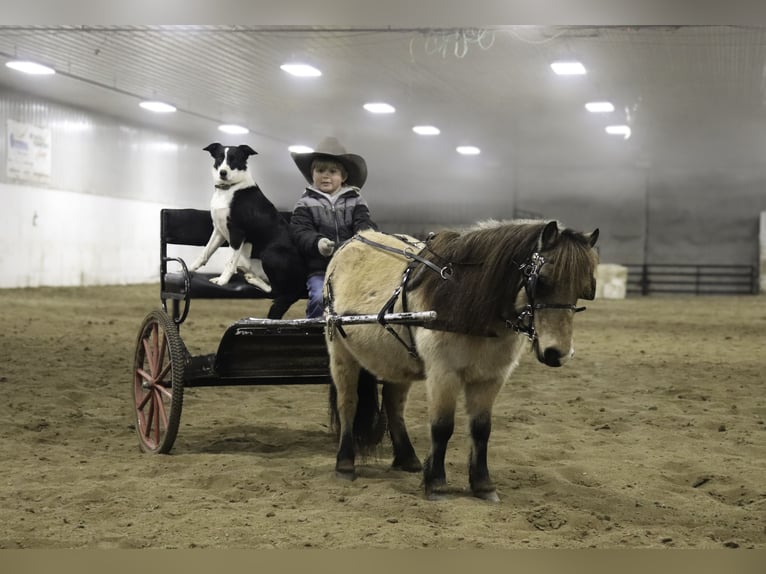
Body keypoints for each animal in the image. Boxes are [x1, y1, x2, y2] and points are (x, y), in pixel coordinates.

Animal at [190, 143, 308, 320]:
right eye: (219, 158)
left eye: (234, 159)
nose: (223, 172)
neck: (229, 189)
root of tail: (301, 285)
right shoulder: (218, 230)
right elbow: (205, 252)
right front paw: (188, 269)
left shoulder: (237, 233)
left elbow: (229, 262)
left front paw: (222, 281)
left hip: (269, 253)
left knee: (275, 291)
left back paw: (253, 280)